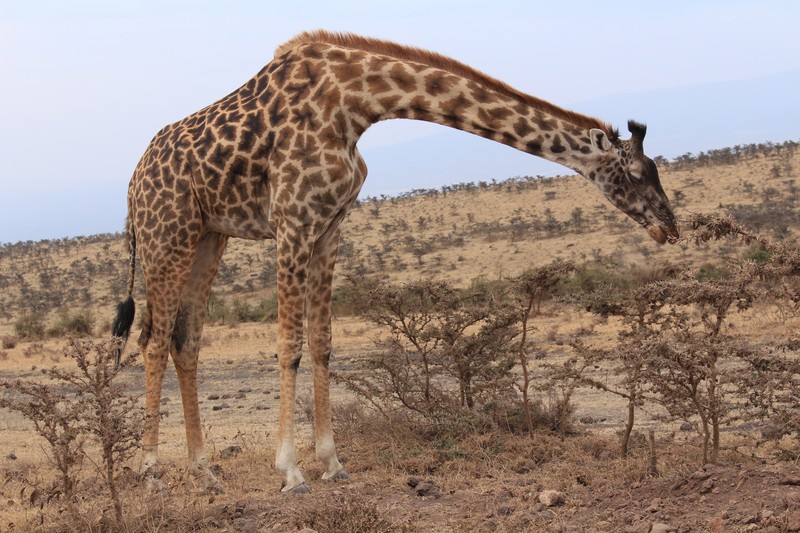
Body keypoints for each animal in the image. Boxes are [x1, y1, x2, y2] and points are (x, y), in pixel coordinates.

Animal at [111, 30, 676, 494]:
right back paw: (152, 473)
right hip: (167, 236)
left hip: (209, 236)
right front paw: (291, 471)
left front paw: (332, 463)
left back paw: (204, 471)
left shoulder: (330, 225)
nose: (669, 226)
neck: (354, 104)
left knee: (185, 341)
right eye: (633, 174)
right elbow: (289, 345)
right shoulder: (292, 221)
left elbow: (321, 343)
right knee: (153, 341)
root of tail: (132, 186)